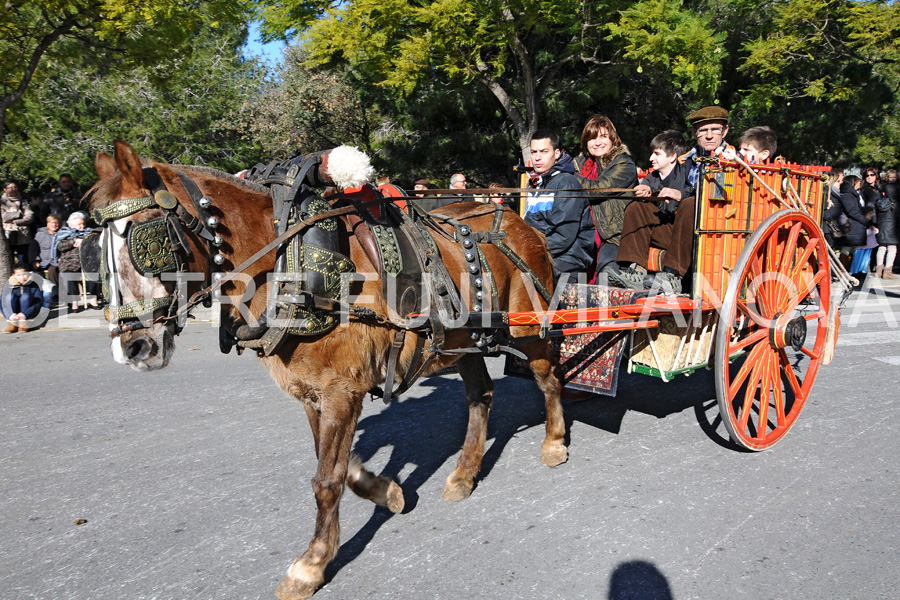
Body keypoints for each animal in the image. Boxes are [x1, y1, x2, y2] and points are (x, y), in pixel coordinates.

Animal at [88, 138, 568, 596]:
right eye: (97, 253)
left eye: (144, 240)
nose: (133, 347)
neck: (286, 261)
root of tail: (523, 223)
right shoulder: (314, 393)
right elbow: (337, 465)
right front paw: (387, 492)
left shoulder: (342, 390)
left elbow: (326, 479)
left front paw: (312, 563)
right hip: (459, 340)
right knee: (480, 394)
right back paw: (465, 473)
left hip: (528, 328)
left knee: (548, 378)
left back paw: (554, 443)